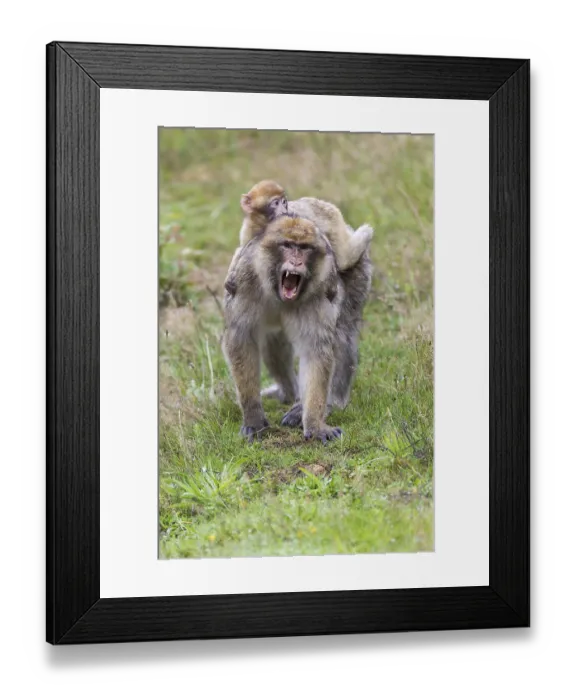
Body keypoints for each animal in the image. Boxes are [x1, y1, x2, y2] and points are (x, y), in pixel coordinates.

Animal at [223, 214, 372, 442]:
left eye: (304, 248)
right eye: (288, 245)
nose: (296, 261)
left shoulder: (319, 294)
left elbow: (315, 350)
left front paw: (315, 424)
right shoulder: (244, 282)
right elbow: (242, 340)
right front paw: (253, 417)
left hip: (357, 272)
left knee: (341, 335)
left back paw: (330, 402)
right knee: (273, 343)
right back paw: (289, 393)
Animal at [239, 180, 373, 272]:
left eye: (284, 202)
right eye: (276, 203)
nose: (284, 209)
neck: (263, 223)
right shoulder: (247, 233)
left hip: (330, 215)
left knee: (344, 260)